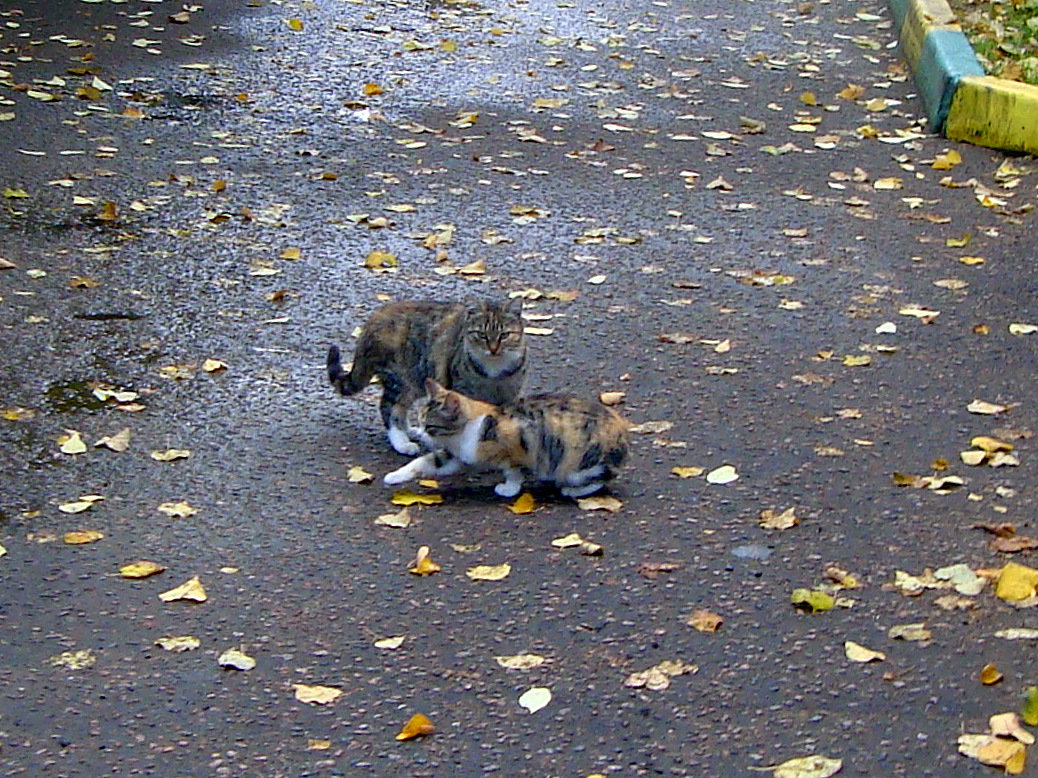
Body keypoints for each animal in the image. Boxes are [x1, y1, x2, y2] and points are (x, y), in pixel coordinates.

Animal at [328, 298, 527, 456]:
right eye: (482, 335)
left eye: (505, 335)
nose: (493, 349)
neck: (494, 371)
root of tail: (376, 317)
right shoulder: (462, 392)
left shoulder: (508, 397)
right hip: (400, 379)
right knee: (388, 408)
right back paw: (402, 442)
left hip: (415, 383)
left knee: (400, 409)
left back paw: (412, 430)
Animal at [381, 379, 622, 499]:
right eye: (419, 420)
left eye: (429, 426)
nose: (419, 434)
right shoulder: (458, 456)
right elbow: (424, 462)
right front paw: (395, 476)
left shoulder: (519, 444)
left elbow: (513, 470)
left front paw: (510, 488)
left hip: (576, 462)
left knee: (601, 479)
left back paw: (572, 490)